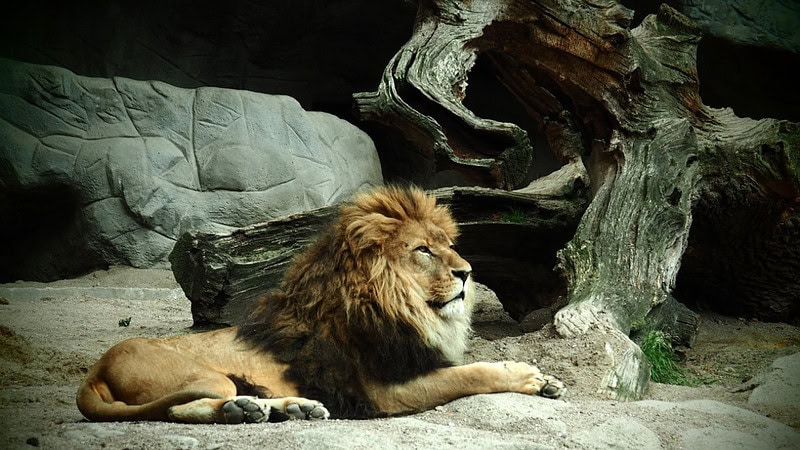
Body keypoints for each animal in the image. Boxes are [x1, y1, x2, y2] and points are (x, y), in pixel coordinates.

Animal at [76, 186, 565, 423]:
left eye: (448, 245)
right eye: (423, 250)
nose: (467, 272)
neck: (402, 308)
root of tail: (96, 368)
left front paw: (548, 381)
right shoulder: (384, 391)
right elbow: (468, 374)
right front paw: (528, 376)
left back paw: (291, 408)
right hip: (206, 377)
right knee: (178, 408)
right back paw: (244, 411)